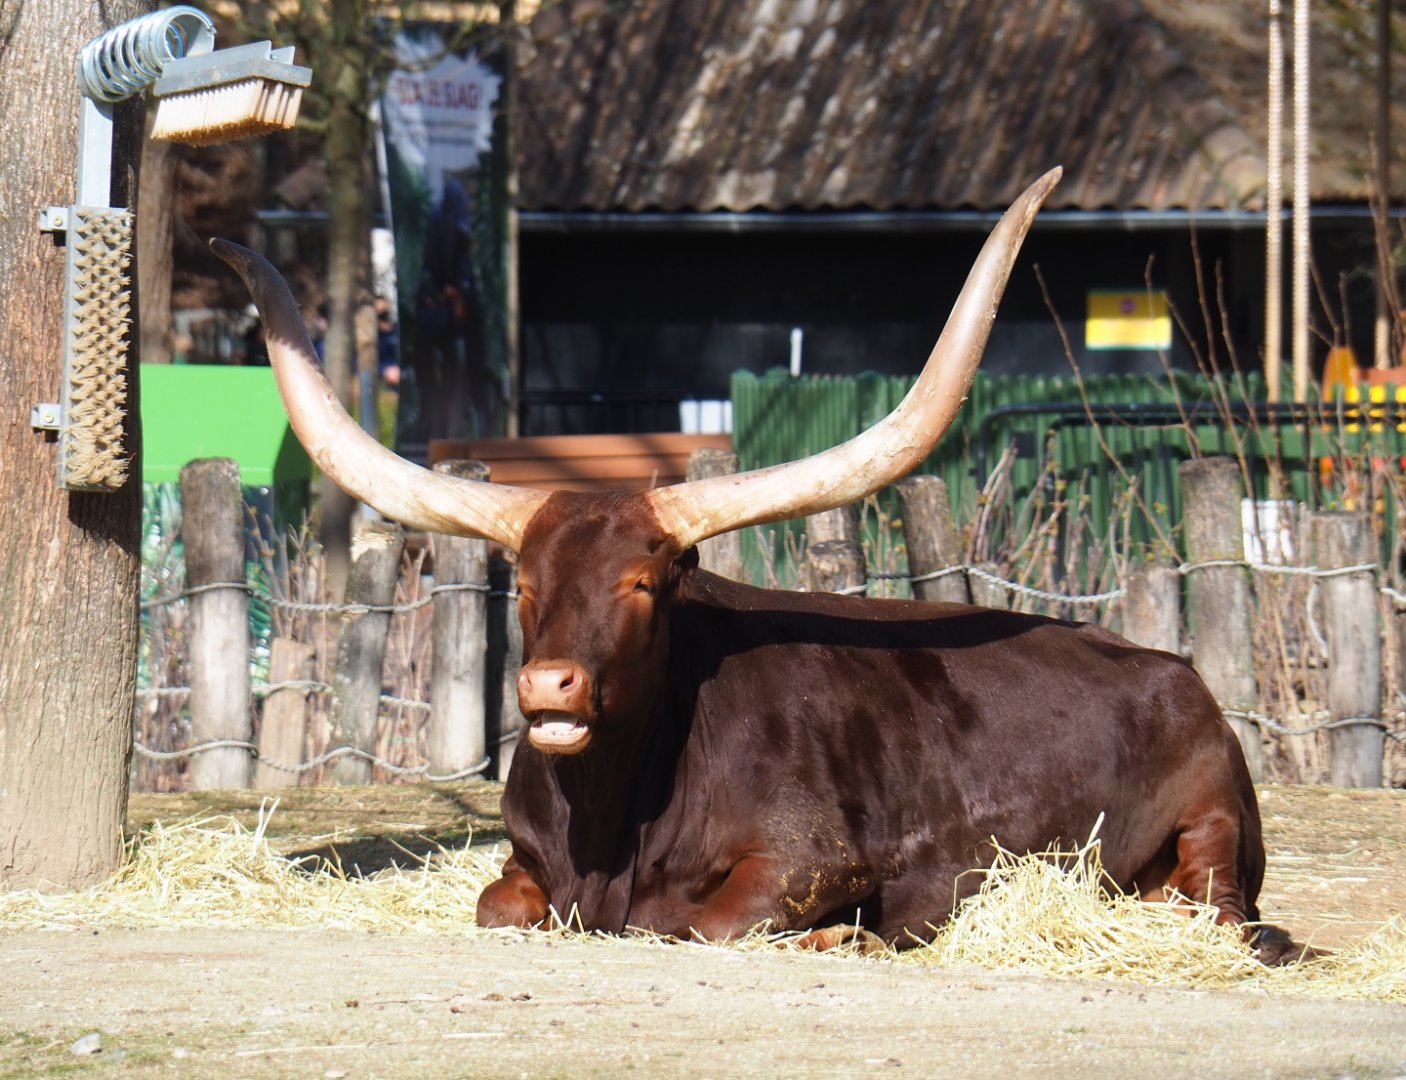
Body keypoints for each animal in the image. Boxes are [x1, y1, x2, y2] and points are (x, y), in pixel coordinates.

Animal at [212, 168, 1306, 963]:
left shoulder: (812, 859)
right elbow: (496, 906)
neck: (609, 819)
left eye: (642, 585)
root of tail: (1170, 669)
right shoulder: (521, 871)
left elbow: (704, 922)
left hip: (1212, 824)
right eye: (521, 586)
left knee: (1223, 914)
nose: (549, 684)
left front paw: (839, 938)